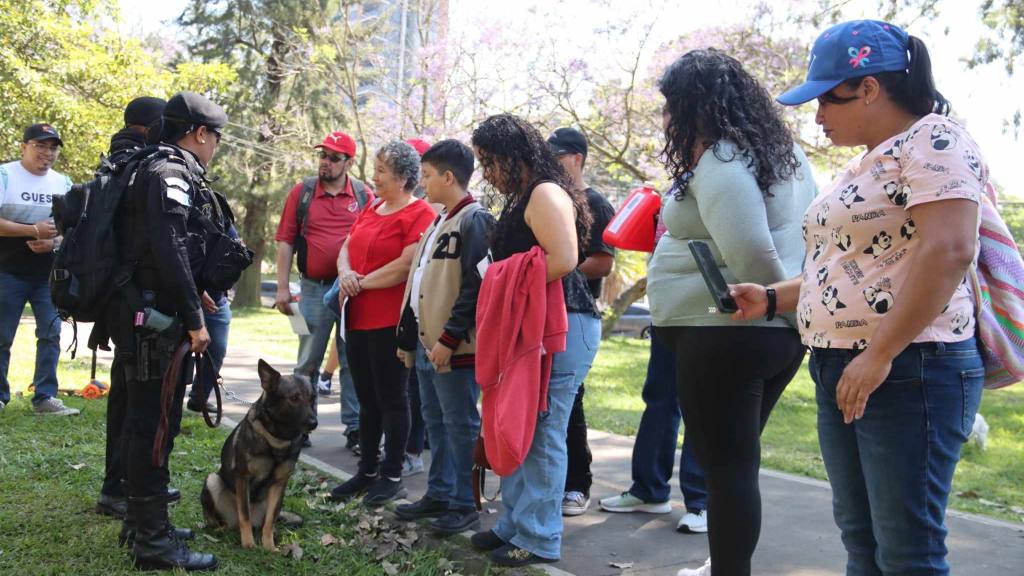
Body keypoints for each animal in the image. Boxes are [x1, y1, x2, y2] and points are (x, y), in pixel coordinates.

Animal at [197, 358, 313, 545]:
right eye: (294, 398)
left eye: (313, 398)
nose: (314, 423)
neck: (277, 440)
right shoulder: (243, 478)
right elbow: (244, 514)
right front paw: (249, 544)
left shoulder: (279, 485)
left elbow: (270, 521)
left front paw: (269, 546)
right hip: (212, 480)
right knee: (218, 521)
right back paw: (220, 530)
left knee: (265, 522)